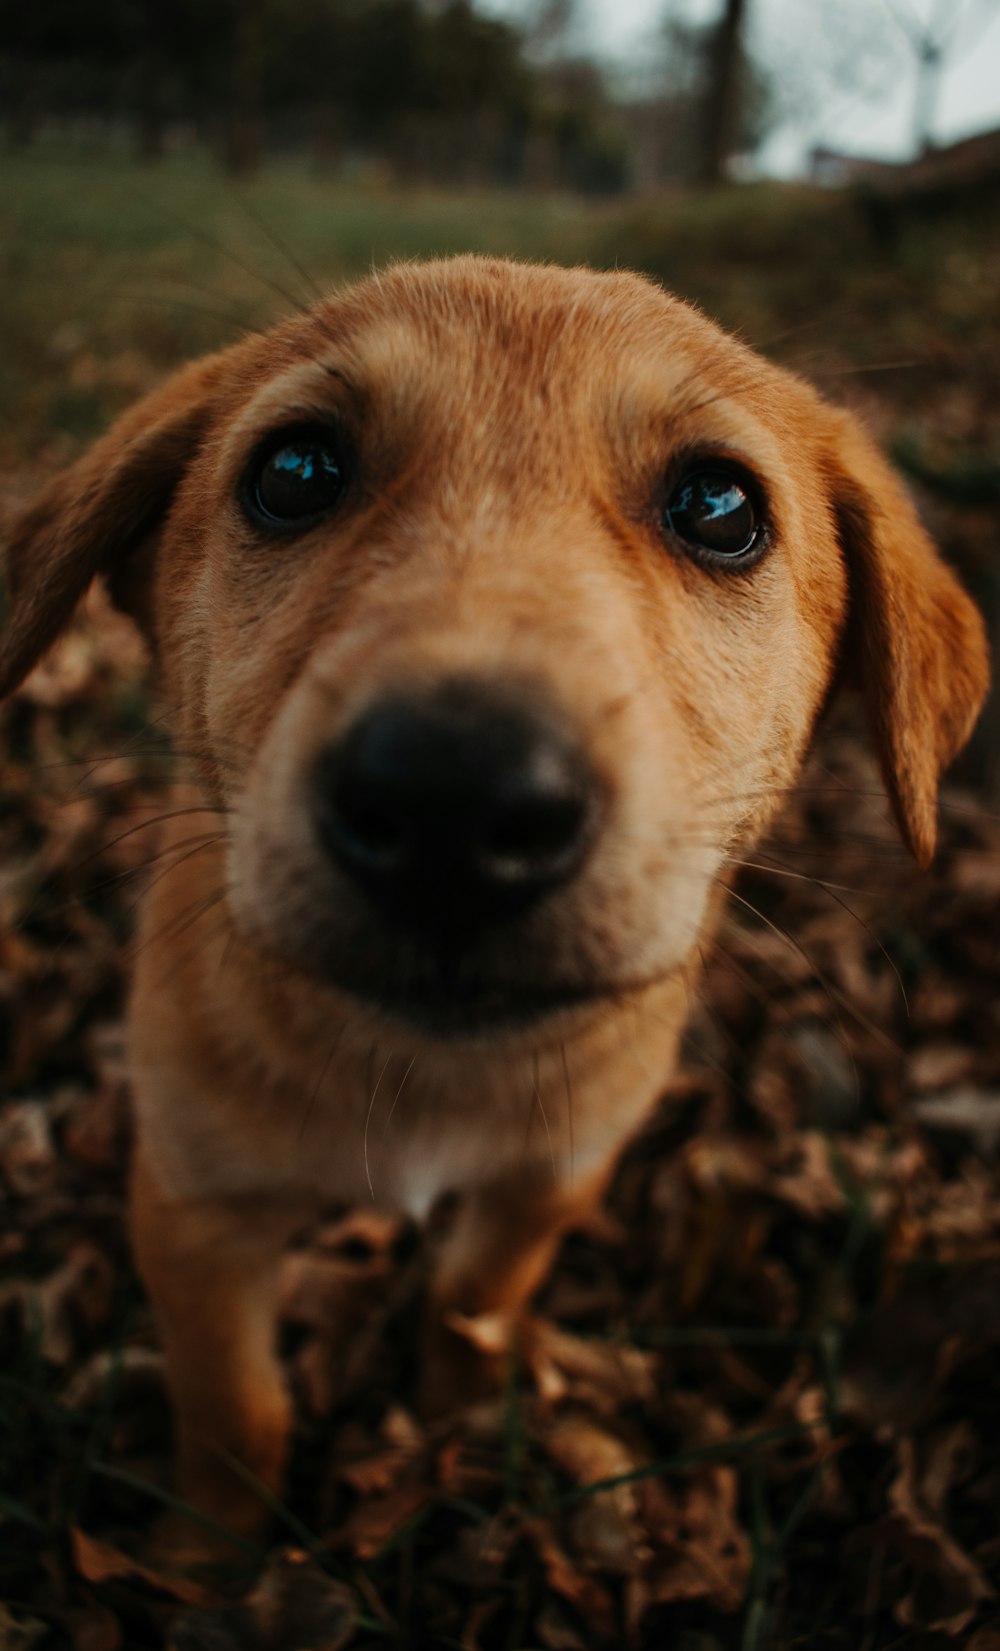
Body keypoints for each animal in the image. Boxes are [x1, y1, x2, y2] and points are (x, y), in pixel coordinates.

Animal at [0, 260, 990, 1558]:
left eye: (719, 505)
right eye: (295, 471)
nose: (451, 798)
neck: (423, 1075)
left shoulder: (548, 1178)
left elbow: (471, 1301)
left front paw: (450, 1422)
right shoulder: (194, 1205)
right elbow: (236, 1410)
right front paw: (209, 1560)